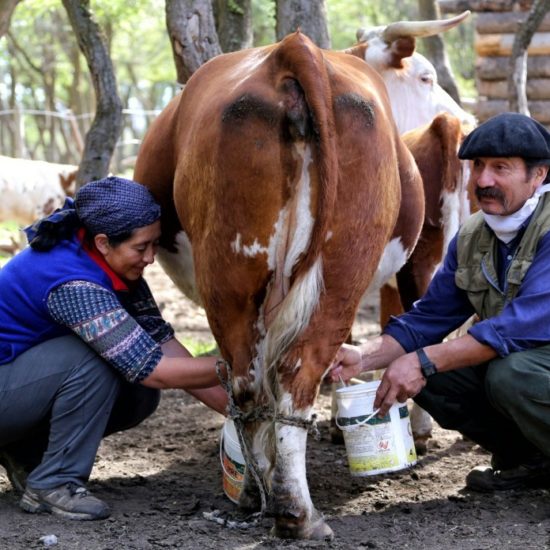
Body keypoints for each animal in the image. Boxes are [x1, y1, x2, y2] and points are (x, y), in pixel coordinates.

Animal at [135, 32, 426, 540]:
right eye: (426, 77)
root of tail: (293, 49)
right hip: (342, 270)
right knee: (294, 373)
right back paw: (297, 512)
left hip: (233, 276)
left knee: (249, 384)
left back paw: (262, 493)